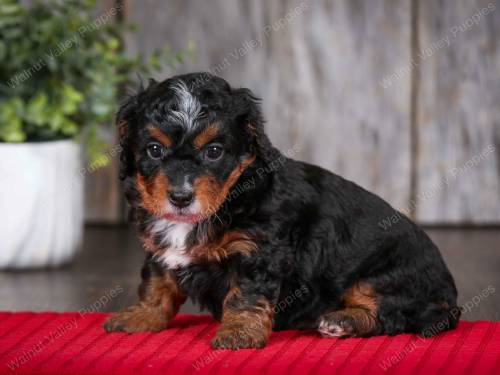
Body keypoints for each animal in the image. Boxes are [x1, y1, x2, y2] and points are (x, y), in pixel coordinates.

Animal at [103, 72, 458, 350]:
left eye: (214, 151)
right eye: (154, 149)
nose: (180, 197)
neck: (229, 197)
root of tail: (449, 298)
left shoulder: (258, 251)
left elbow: (245, 294)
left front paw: (239, 332)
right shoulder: (160, 248)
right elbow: (157, 283)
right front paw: (142, 315)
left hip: (387, 275)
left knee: (390, 315)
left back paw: (343, 320)